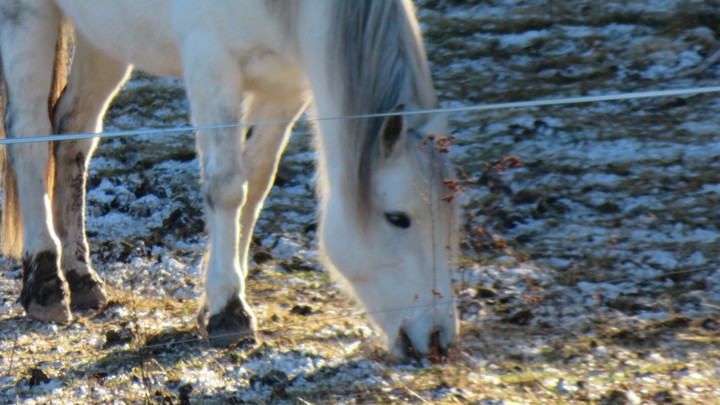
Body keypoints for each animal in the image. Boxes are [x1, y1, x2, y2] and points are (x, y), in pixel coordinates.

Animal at [0, 0, 459, 358]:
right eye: (397, 218)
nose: (437, 341)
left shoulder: (284, 87)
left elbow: (254, 185)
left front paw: (216, 304)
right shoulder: (211, 65)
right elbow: (225, 188)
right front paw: (228, 312)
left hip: (105, 39)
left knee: (73, 132)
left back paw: (81, 278)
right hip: (29, 18)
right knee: (30, 134)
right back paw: (45, 282)